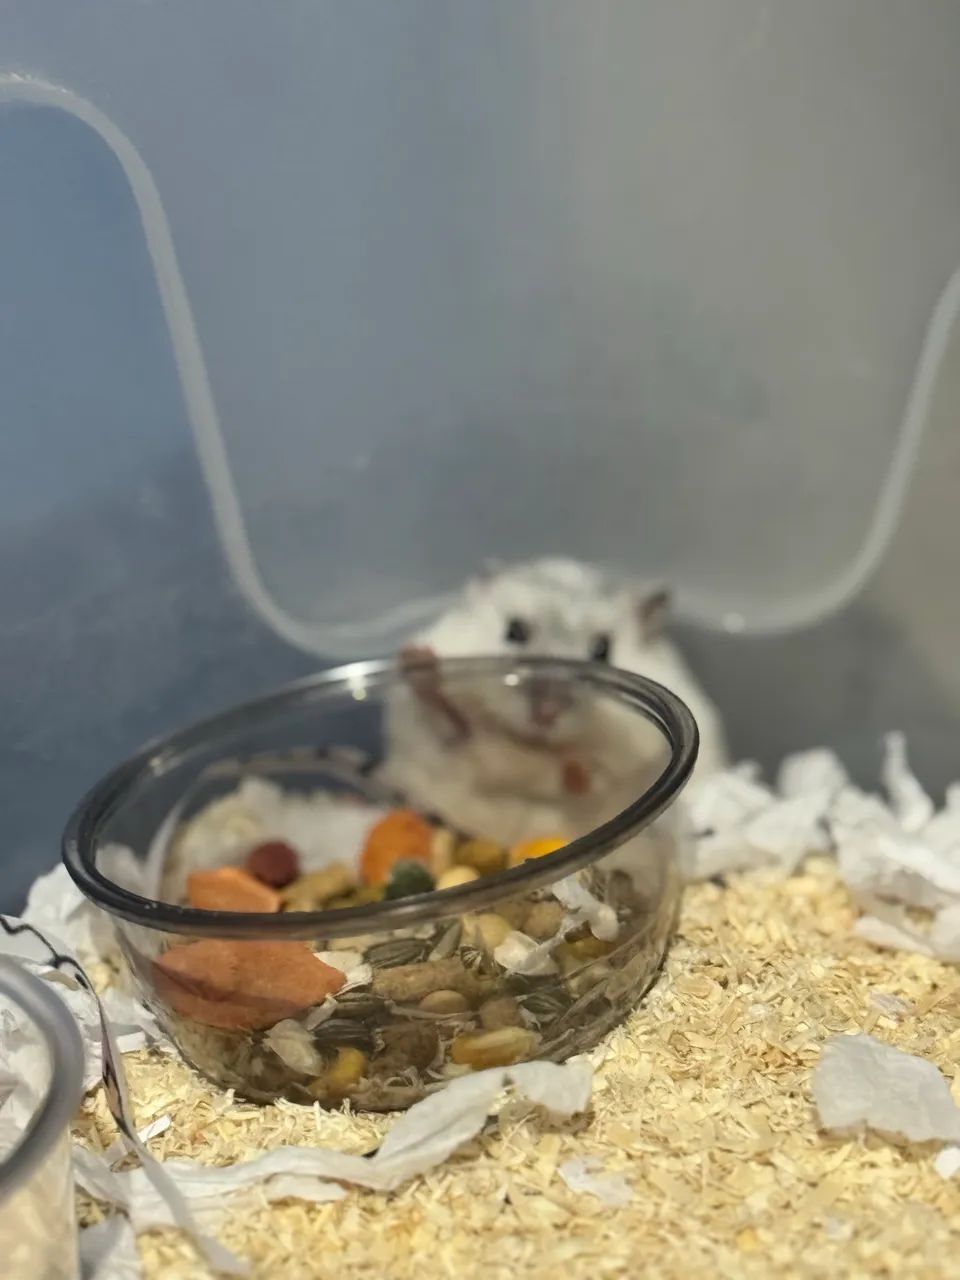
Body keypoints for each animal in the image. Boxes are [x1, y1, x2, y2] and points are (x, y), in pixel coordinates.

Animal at [382, 558, 727, 845]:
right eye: (515, 630)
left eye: (602, 649)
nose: (545, 715)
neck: (532, 747)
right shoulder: (430, 737)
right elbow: (451, 725)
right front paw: (418, 658)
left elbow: (593, 776)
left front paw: (576, 768)